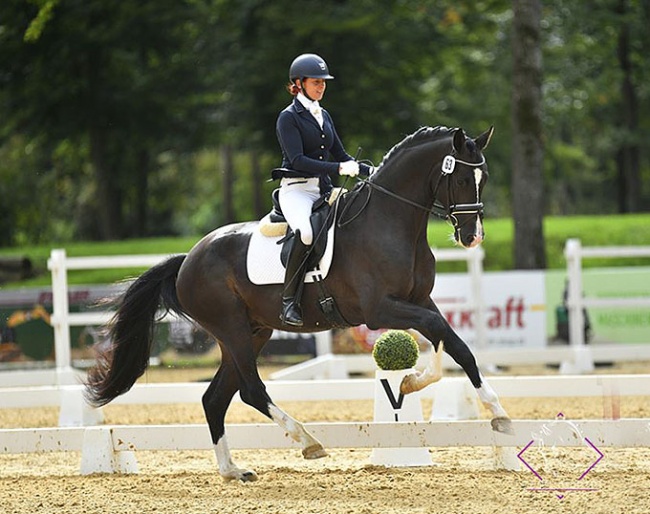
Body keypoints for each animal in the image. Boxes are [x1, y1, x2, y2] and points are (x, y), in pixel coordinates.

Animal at [85, 124, 512, 480]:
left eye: (485, 178)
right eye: (460, 178)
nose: (473, 237)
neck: (389, 221)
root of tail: (188, 258)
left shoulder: (419, 300)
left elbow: (456, 345)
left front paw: (496, 412)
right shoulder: (380, 309)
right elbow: (439, 334)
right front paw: (413, 381)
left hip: (252, 331)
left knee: (215, 398)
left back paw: (232, 470)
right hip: (232, 329)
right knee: (250, 390)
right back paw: (307, 441)